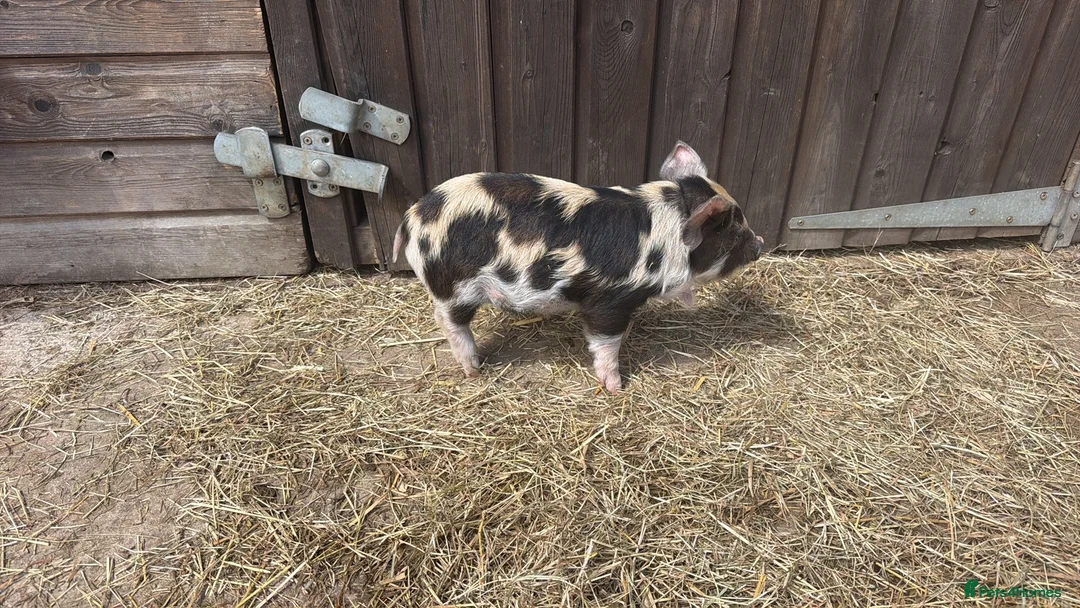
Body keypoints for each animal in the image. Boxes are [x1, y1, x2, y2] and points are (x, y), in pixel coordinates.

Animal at [392, 141, 764, 393]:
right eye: (731, 228)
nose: (759, 243)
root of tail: (411, 218)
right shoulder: (610, 300)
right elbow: (606, 343)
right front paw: (616, 388)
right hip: (454, 286)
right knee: (449, 321)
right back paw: (474, 369)